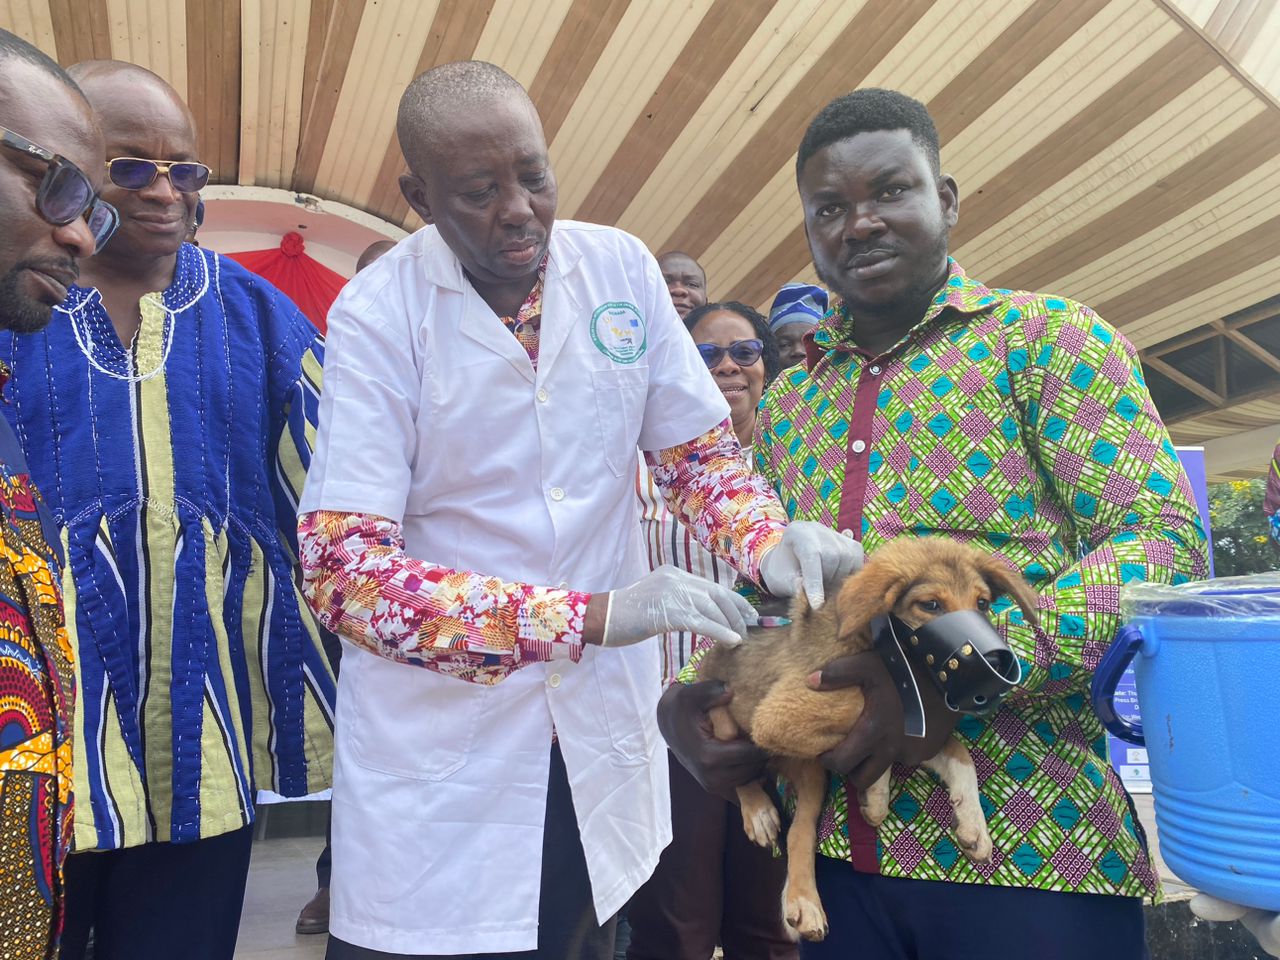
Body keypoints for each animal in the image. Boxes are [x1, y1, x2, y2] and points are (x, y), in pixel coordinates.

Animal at [701, 537, 1039, 942]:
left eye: (984, 604)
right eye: (931, 605)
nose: (996, 663)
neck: (882, 649)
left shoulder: (919, 727)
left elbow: (955, 755)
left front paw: (973, 823)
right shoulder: (782, 714)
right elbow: (867, 717)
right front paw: (877, 791)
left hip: (813, 778)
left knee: (800, 831)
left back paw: (804, 903)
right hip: (724, 708)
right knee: (737, 761)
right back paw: (759, 811)